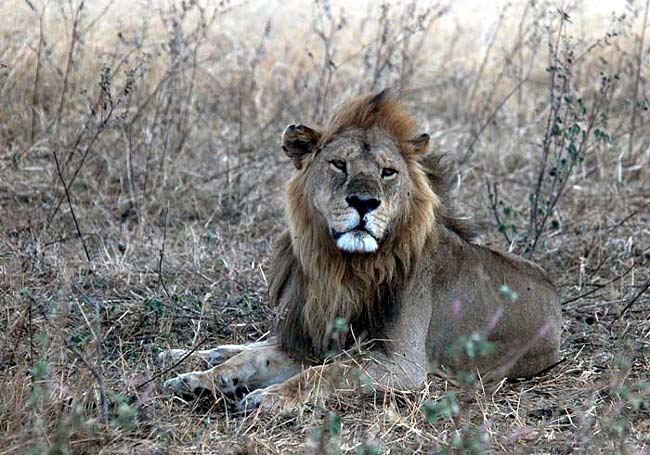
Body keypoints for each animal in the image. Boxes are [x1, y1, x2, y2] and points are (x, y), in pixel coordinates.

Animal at [161, 88, 556, 414]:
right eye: (339, 164)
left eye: (388, 172)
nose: (364, 202)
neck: (346, 267)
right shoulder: (316, 342)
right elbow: (255, 362)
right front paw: (200, 381)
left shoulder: (402, 363)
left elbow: (326, 373)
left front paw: (267, 397)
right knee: (255, 345)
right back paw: (189, 359)